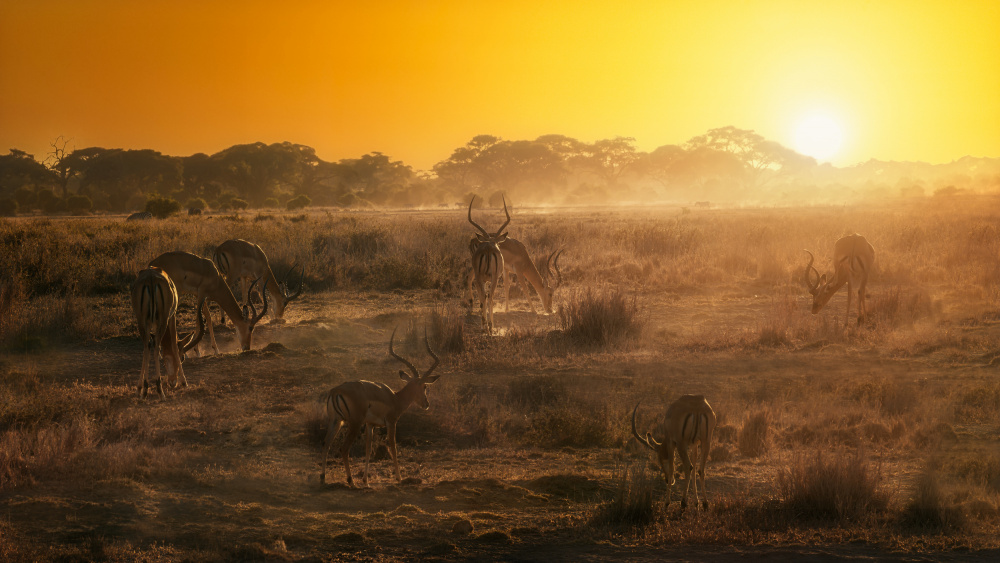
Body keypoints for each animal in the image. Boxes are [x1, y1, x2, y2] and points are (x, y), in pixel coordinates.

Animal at [130, 266, 206, 398]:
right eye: (182, 358)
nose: (172, 382)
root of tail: (151, 278)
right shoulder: (172, 316)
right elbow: (174, 346)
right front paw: (185, 383)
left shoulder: (150, 323)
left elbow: (148, 346)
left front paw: (140, 388)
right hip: (163, 319)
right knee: (155, 346)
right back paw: (160, 391)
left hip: (141, 320)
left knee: (147, 346)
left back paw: (143, 390)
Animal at [320, 330, 442, 490]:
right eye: (425, 386)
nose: (426, 403)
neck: (395, 398)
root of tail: (336, 391)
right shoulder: (391, 422)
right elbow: (393, 447)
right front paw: (399, 478)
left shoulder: (370, 425)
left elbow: (368, 449)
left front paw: (366, 481)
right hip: (354, 423)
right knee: (344, 448)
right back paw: (351, 482)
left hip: (336, 421)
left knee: (326, 443)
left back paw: (323, 479)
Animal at [468, 195, 512, 334]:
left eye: (498, 243)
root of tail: (488, 248)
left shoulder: (482, 279)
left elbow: (484, 297)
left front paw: (485, 324)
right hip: (493, 278)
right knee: (490, 296)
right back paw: (490, 325)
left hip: (486, 278)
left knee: (486, 296)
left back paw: (487, 325)